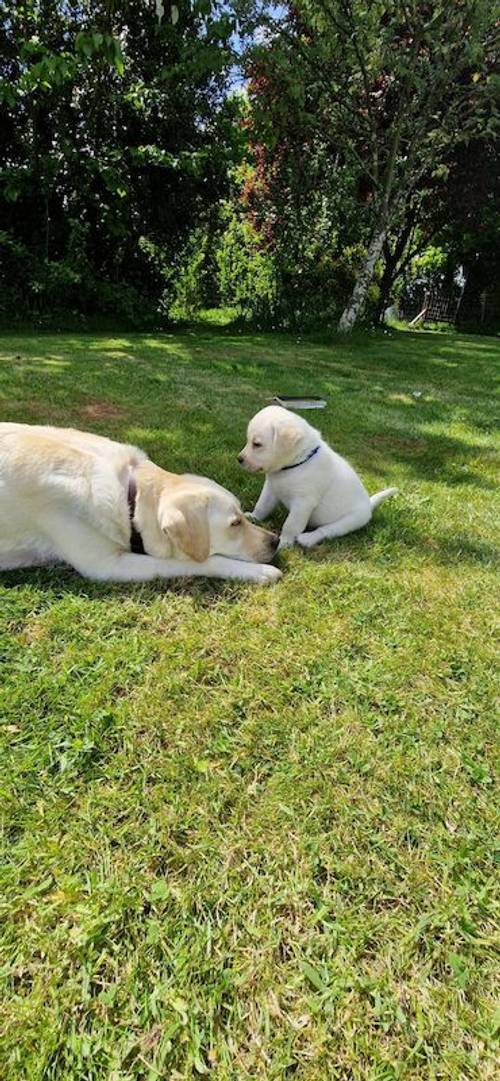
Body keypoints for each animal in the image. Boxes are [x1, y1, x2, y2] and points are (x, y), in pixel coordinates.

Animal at [0, 421, 280, 583]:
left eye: (243, 514)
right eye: (234, 524)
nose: (275, 541)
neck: (130, 497)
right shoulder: (107, 565)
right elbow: (202, 562)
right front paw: (260, 572)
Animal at [239, 408, 399, 553]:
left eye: (257, 444)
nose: (239, 459)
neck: (297, 463)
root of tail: (368, 505)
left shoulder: (303, 503)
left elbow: (291, 524)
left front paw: (284, 542)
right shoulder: (271, 488)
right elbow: (262, 505)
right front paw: (254, 517)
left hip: (350, 521)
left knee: (326, 531)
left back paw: (308, 538)